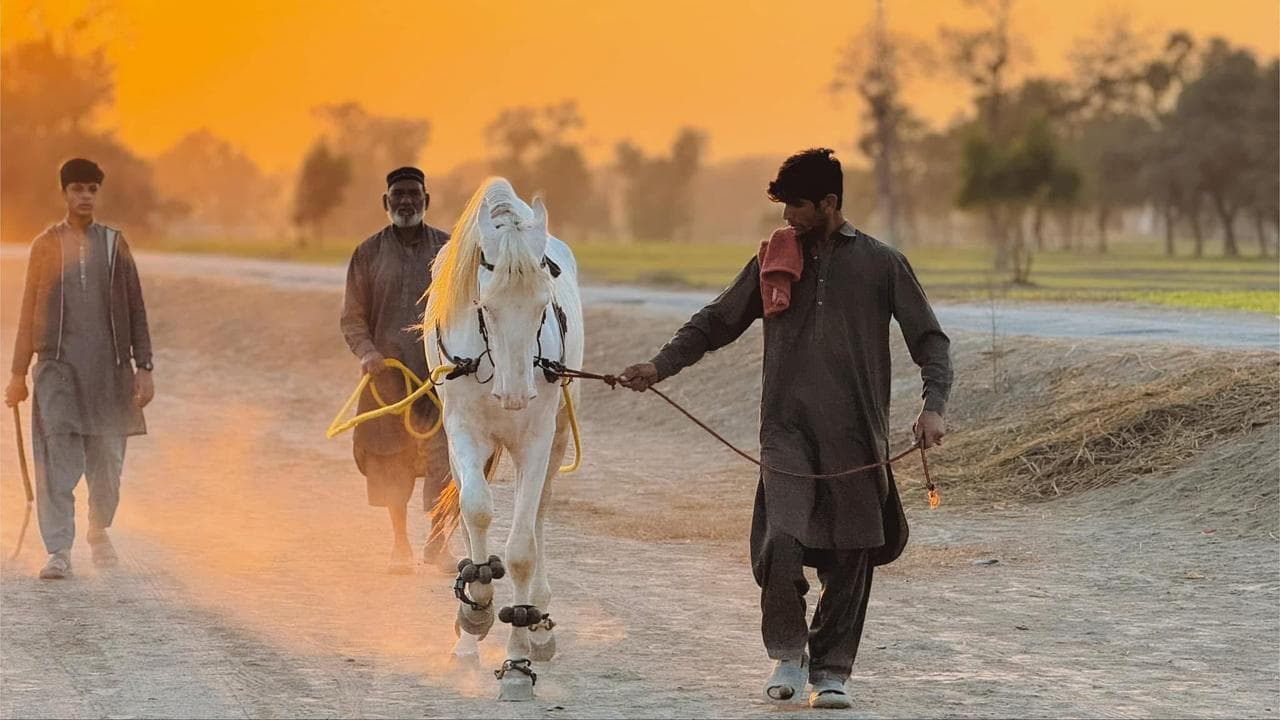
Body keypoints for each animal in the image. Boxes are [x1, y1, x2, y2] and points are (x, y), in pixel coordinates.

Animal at [424, 178, 584, 701]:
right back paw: (467, 638)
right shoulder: (462, 430)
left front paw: (517, 662)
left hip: (555, 441)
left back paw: (540, 625)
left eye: (542, 306)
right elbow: (475, 509)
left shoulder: (536, 439)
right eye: (485, 307)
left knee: (538, 517)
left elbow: (521, 549)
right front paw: (475, 606)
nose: (515, 395)